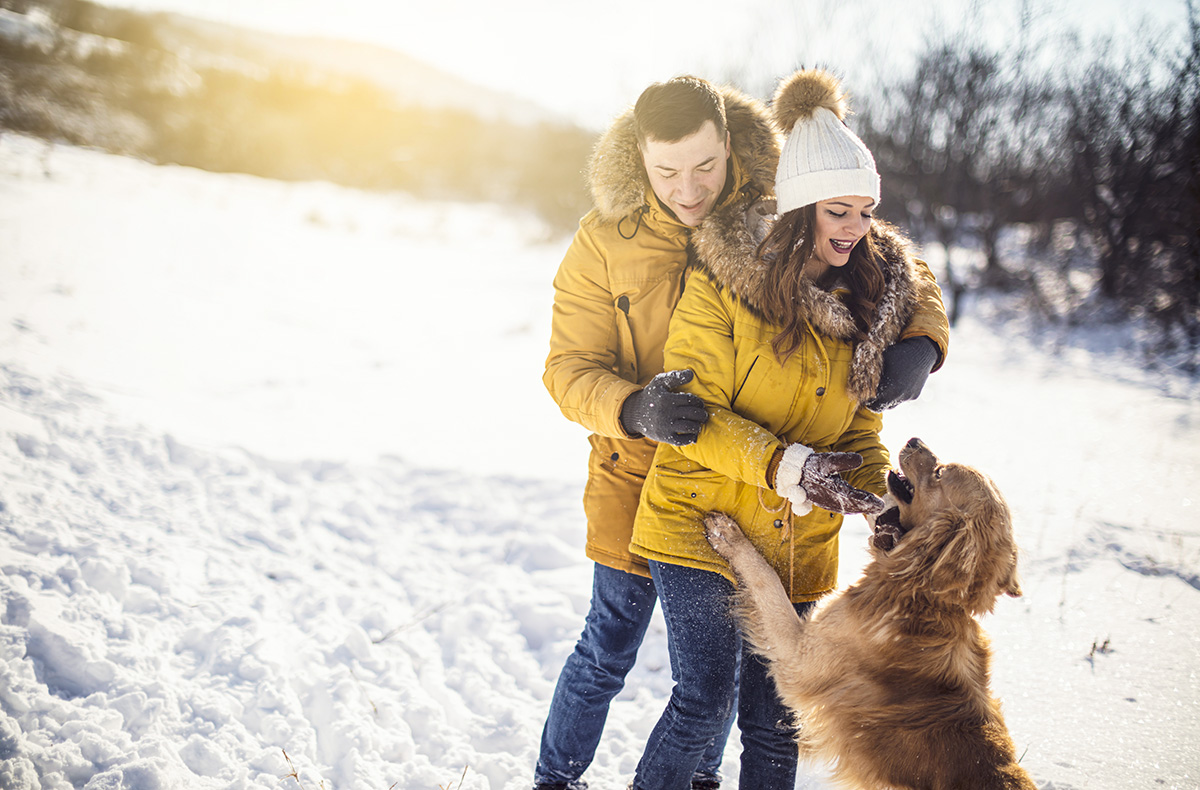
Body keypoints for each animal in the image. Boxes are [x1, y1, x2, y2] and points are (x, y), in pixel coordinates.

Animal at [705, 437, 1036, 787]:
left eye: (939, 473)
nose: (914, 440)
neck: (924, 596)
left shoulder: (800, 654)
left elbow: (764, 577)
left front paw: (729, 536)